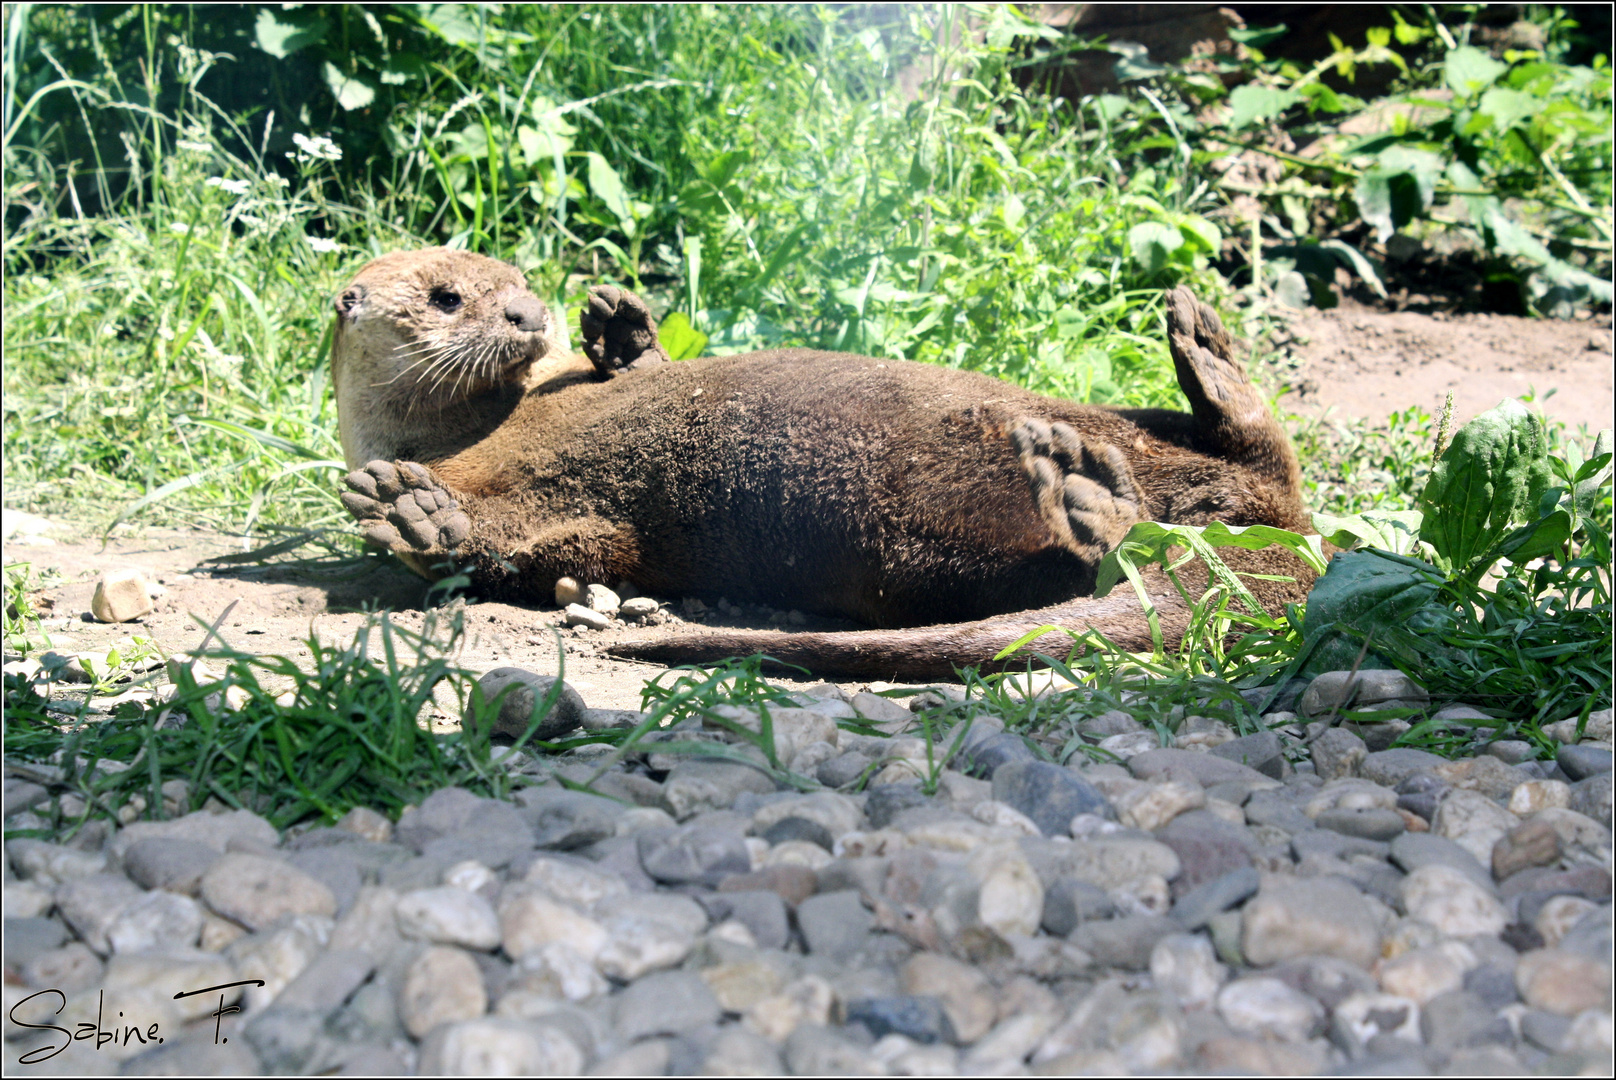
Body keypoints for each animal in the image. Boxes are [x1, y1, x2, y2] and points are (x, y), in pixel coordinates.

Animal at [331, 248, 1325, 679]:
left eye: (515, 280)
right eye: (448, 296)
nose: (527, 315)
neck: (475, 427)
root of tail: (1283, 556)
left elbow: (635, 371)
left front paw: (619, 323)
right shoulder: (562, 526)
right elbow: (516, 545)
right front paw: (413, 514)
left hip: (1150, 430)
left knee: (1260, 456)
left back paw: (1201, 345)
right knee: (1124, 551)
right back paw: (1093, 499)